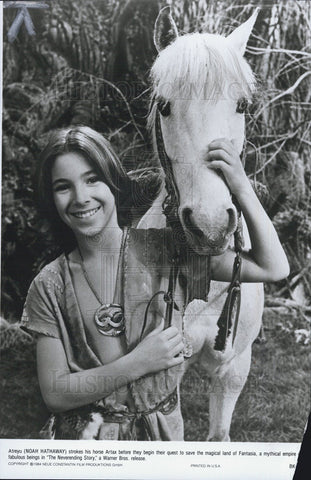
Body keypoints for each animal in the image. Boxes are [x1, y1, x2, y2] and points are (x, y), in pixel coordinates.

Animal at [138, 8, 264, 442]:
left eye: (241, 105)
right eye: (164, 106)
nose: (210, 228)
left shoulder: (234, 369)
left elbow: (218, 435)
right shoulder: (163, 385)